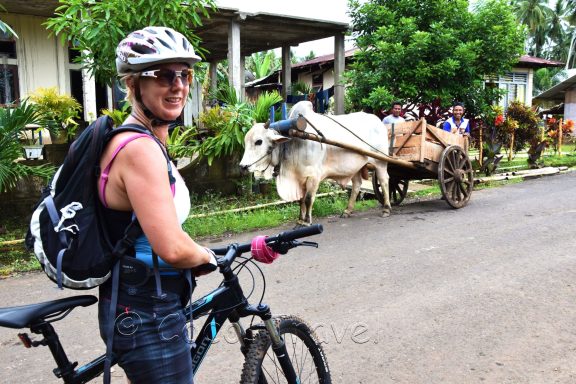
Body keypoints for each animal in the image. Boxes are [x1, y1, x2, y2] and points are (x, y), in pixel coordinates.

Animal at [238, 100, 392, 225]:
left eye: (259, 141)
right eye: (246, 140)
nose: (243, 167)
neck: (294, 141)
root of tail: (378, 121)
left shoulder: (314, 176)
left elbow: (308, 199)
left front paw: (307, 221)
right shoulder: (299, 178)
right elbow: (300, 200)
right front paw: (300, 219)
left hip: (380, 161)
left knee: (384, 180)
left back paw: (386, 208)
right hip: (355, 166)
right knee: (357, 185)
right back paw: (347, 211)